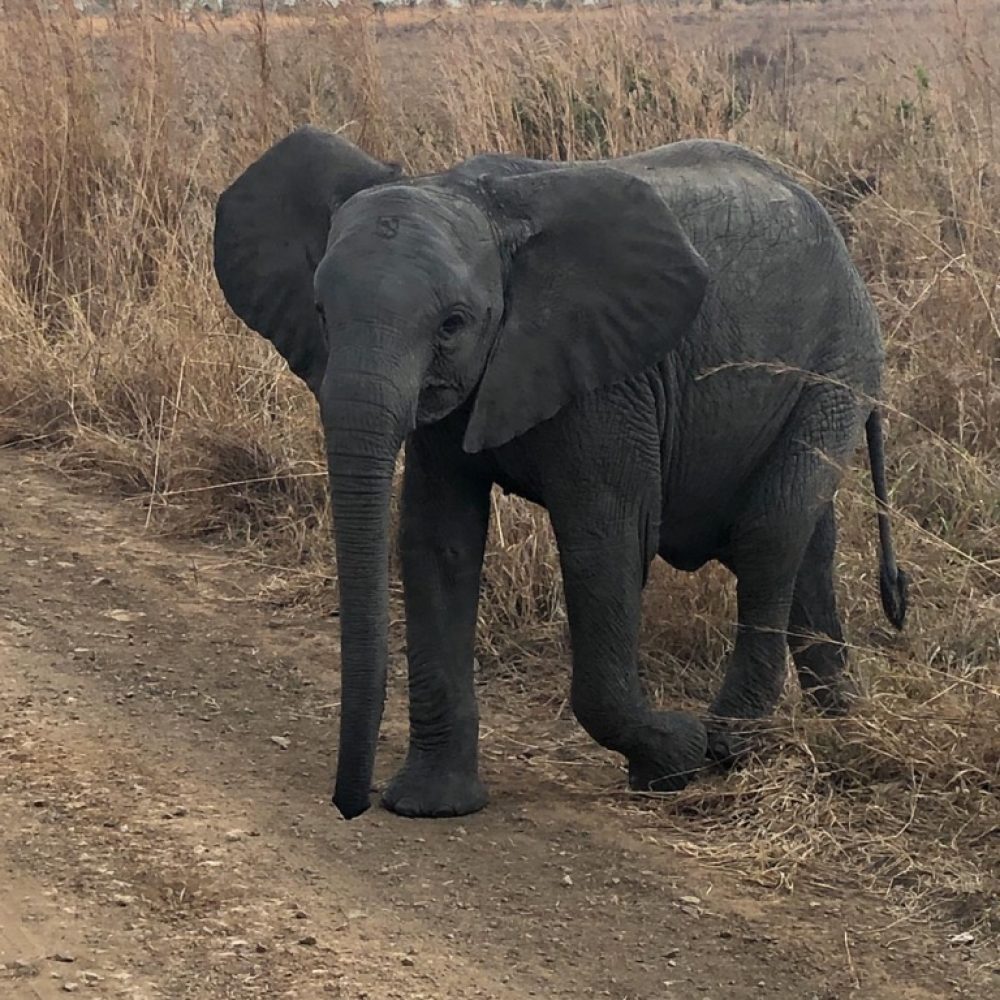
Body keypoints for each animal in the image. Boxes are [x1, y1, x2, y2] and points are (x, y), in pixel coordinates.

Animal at [215, 127, 912, 820]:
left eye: (452, 324)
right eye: (319, 312)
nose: (349, 806)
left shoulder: (609, 383)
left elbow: (604, 542)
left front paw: (673, 758)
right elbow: (437, 542)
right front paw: (432, 805)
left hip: (838, 366)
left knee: (772, 534)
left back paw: (729, 747)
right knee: (809, 546)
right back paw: (842, 725)